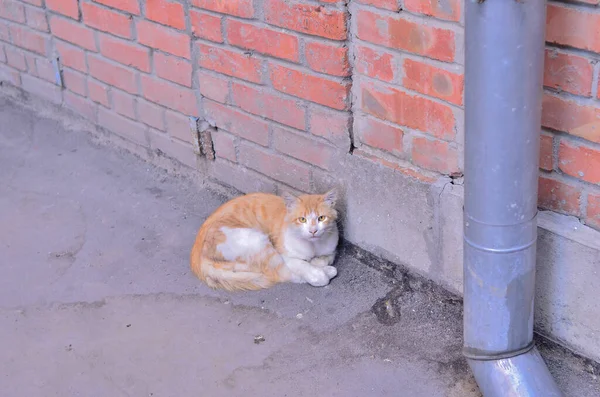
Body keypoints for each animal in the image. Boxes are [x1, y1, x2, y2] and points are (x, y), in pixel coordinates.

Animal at [192, 190, 342, 290]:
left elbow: (326, 257)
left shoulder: (332, 248)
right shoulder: (284, 254)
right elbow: (302, 264)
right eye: (302, 219)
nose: (313, 231)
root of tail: (197, 258)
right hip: (257, 242)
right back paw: (327, 273)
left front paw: (317, 262)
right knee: (280, 274)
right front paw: (317, 271)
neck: (314, 246)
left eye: (321, 218)